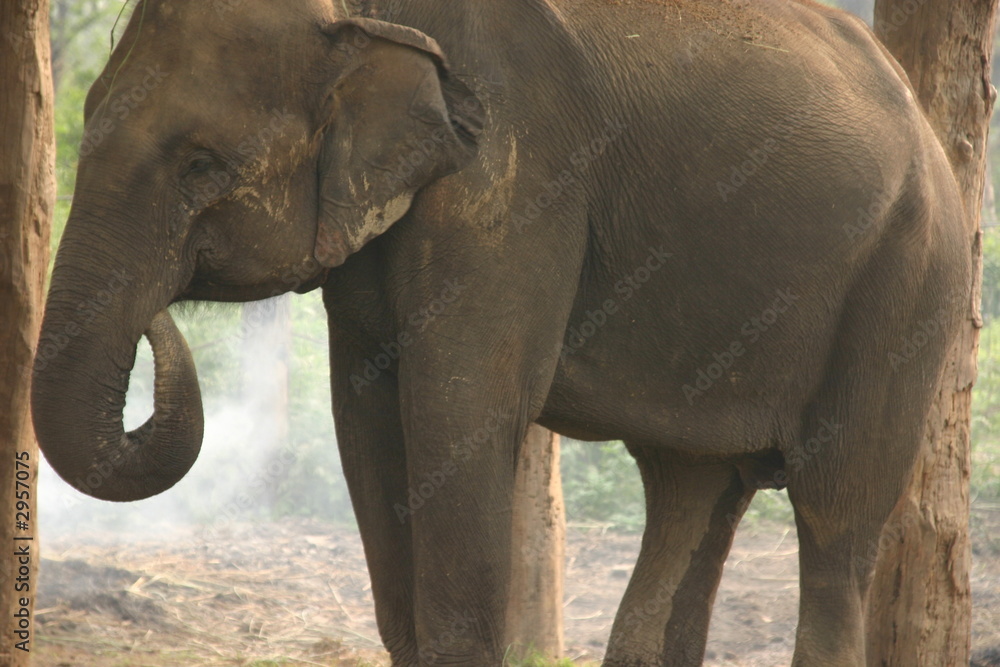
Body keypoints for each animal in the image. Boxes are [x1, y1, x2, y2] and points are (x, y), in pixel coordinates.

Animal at [31, 0, 971, 665]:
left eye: (202, 166)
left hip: (909, 281)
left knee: (835, 509)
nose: (159, 311)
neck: (370, 14)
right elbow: (366, 415)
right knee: (688, 487)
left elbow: (460, 405)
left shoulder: (512, 170)